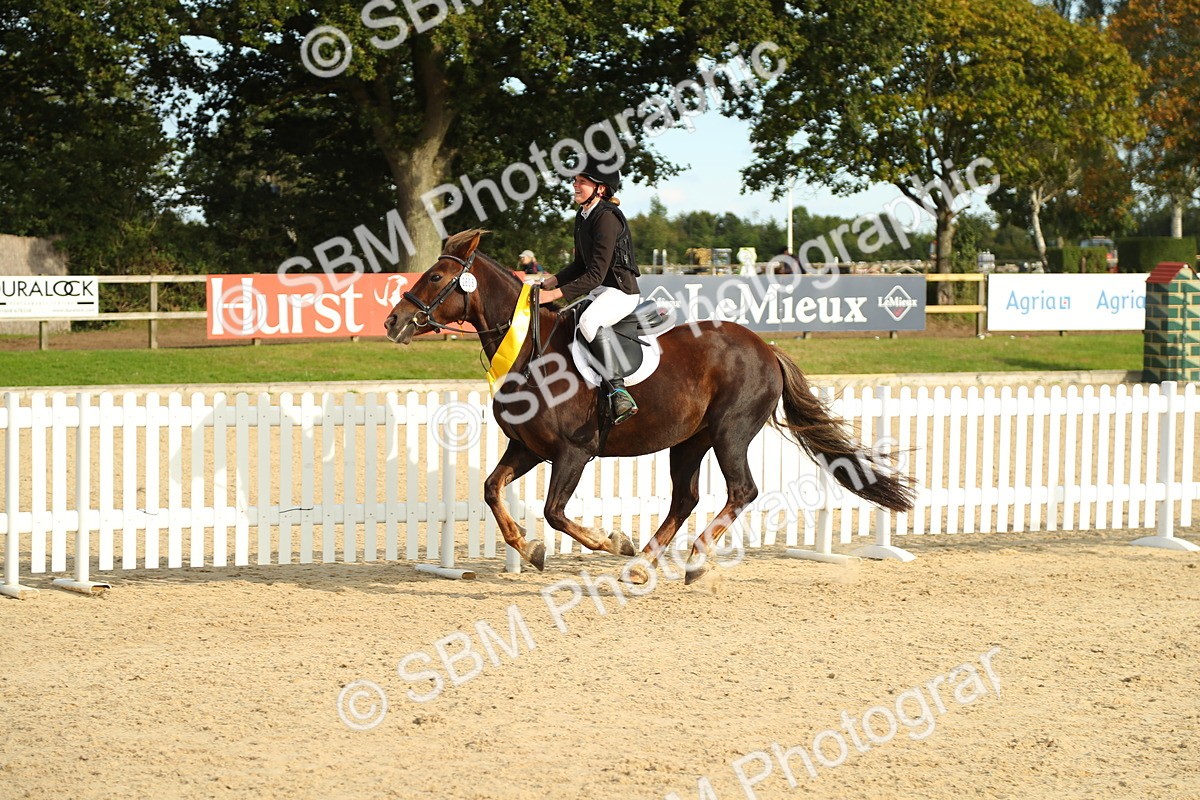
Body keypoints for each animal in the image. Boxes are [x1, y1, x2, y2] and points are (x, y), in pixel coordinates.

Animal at [384, 229, 915, 587]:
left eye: (436, 276)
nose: (393, 322)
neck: (533, 351)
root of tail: (764, 347)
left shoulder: (573, 453)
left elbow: (555, 512)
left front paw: (610, 542)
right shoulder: (528, 448)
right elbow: (493, 491)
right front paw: (530, 549)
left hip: (730, 432)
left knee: (741, 491)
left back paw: (692, 560)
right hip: (689, 441)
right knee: (686, 498)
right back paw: (642, 565)